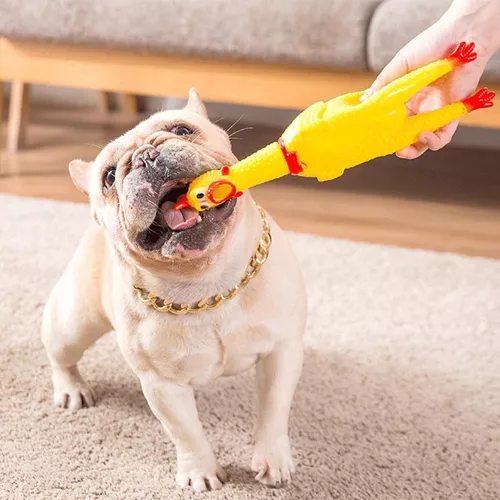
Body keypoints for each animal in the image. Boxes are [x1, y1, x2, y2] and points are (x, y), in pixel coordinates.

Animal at [41, 91, 306, 492]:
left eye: (182, 130)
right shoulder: (162, 385)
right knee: (62, 354)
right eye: (109, 177)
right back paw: (71, 389)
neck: (208, 283)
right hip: (72, 323)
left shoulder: (281, 349)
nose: (146, 155)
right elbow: (186, 432)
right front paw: (202, 473)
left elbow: (274, 408)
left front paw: (272, 460)